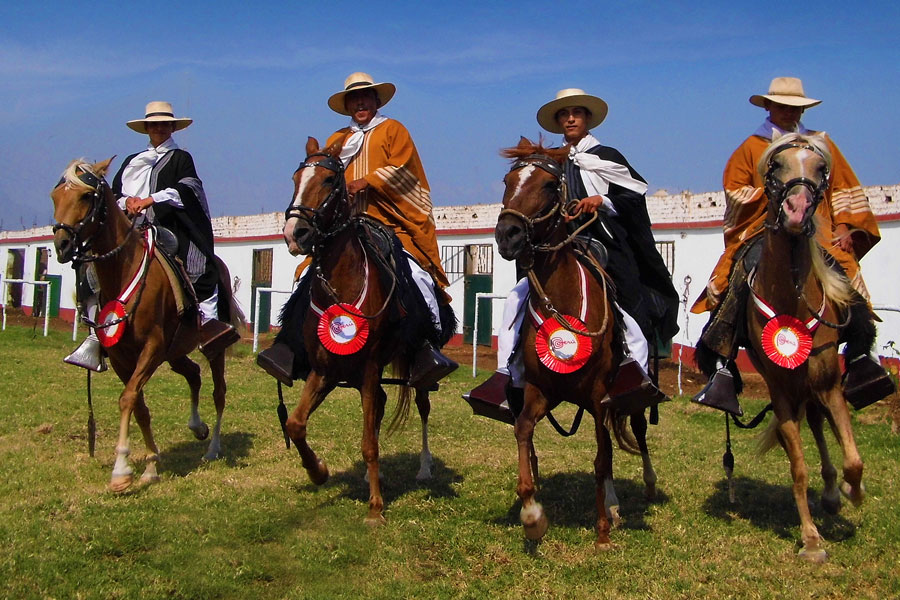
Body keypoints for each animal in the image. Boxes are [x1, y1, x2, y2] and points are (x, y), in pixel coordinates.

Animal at [50, 158, 243, 492]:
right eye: (55, 196)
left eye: (86, 196)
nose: (62, 245)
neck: (124, 272)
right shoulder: (121, 357)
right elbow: (138, 405)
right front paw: (150, 466)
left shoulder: (151, 347)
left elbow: (128, 398)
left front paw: (120, 471)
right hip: (175, 352)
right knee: (193, 374)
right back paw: (197, 427)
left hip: (211, 349)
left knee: (218, 392)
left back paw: (213, 447)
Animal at [282, 136, 450, 524]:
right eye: (296, 178)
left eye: (330, 180)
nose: (295, 233)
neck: (343, 284)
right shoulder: (325, 370)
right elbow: (296, 424)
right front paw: (318, 471)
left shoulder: (371, 367)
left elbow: (369, 443)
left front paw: (375, 508)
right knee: (384, 405)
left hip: (413, 366)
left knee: (421, 406)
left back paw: (423, 467)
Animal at [492, 137, 652, 548]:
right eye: (508, 180)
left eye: (550, 185)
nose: (507, 235)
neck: (561, 301)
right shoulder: (539, 391)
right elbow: (523, 433)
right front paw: (532, 515)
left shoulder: (598, 396)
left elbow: (601, 458)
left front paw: (602, 531)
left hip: (630, 393)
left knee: (636, 429)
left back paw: (644, 485)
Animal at [724, 131, 864, 564]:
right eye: (775, 166)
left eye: (821, 168)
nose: (797, 211)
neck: (791, 301)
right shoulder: (782, 392)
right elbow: (798, 468)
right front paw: (811, 539)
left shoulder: (831, 384)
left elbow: (854, 458)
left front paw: (853, 492)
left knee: (824, 426)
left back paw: (837, 493)